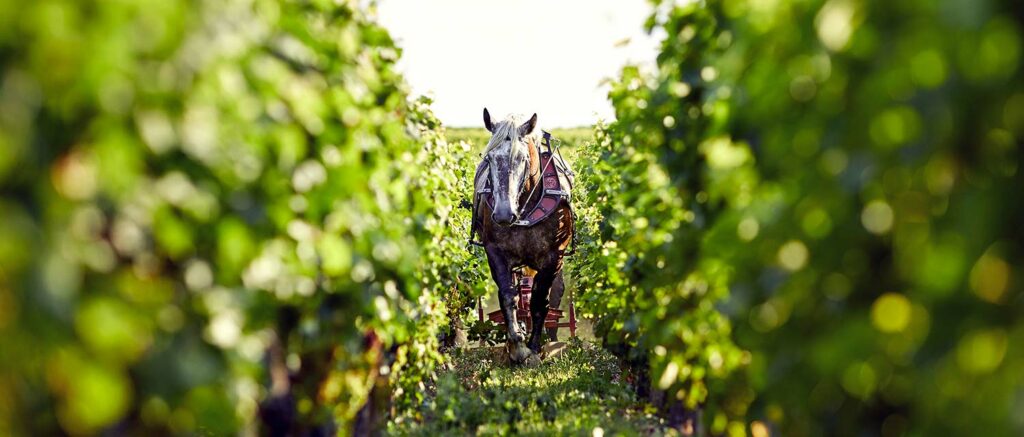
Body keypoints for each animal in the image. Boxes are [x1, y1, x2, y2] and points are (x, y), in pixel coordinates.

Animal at [472, 108, 574, 363]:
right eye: (489, 159)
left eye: (522, 159)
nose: (503, 214)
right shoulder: (495, 252)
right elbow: (509, 296)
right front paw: (517, 346)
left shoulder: (553, 257)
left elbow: (540, 301)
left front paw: (535, 348)